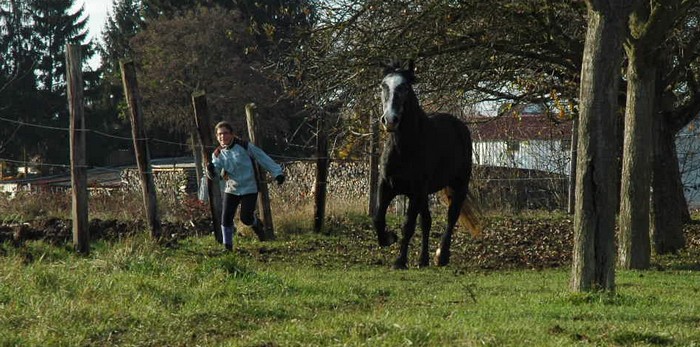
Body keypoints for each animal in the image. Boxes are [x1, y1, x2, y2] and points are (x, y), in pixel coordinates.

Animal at [374, 61, 484, 270]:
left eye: (405, 87)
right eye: (383, 85)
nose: (390, 120)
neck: (404, 148)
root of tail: (459, 125)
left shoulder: (416, 191)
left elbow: (408, 225)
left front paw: (399, 261)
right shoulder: (387, 186)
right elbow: (378, 218)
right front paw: (389, 238)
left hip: (458, 185)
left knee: (451, 217)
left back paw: (441, 256)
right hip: (425, 193)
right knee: (427, 221)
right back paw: (423, 260)